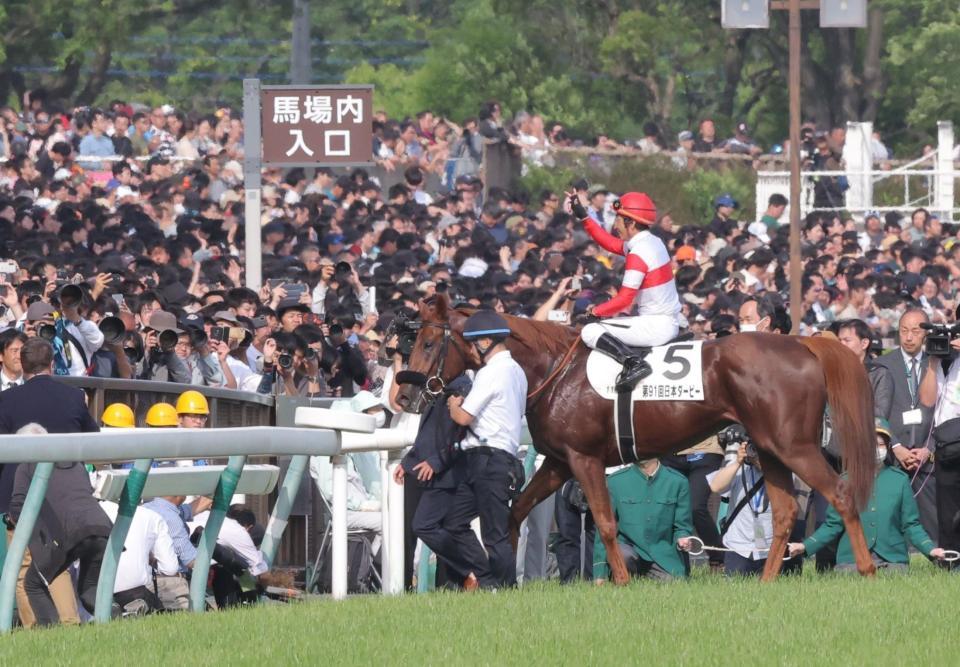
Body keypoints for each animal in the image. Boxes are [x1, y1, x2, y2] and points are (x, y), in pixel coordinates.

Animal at [396, 298, 876, 584]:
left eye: (428, 341)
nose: (404, 395)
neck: (554, 369)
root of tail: (805, 344)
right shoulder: (558, 462)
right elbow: (515, 511)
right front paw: (494, 576)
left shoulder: (585, 459)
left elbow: (606, 523)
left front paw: (621, 584)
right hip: (771, 448)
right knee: (785, 512)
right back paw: (767, 580)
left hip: (795, 446)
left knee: (841, 493)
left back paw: (867, 568)